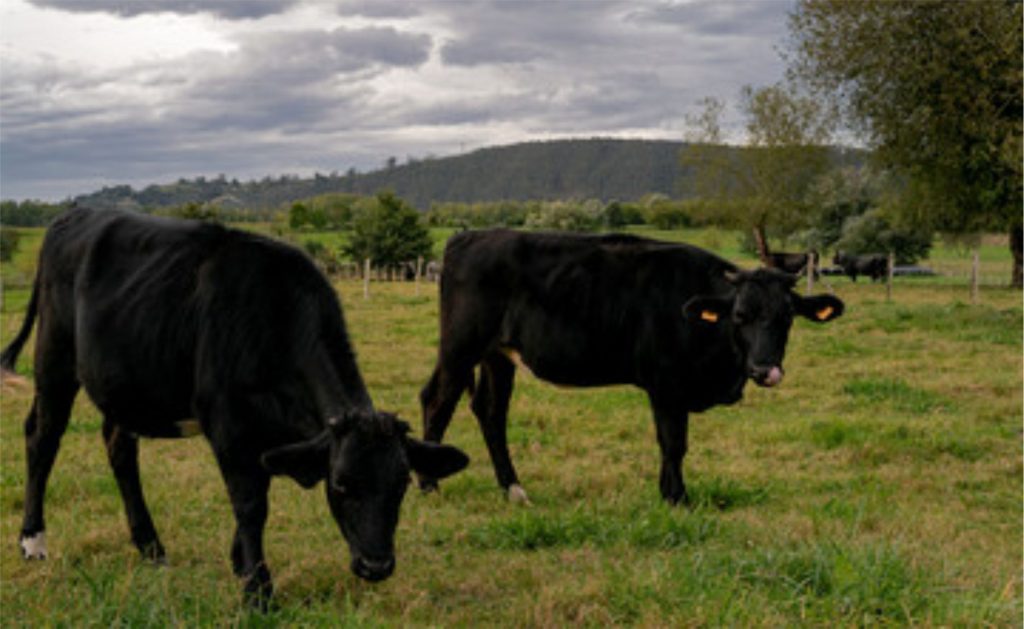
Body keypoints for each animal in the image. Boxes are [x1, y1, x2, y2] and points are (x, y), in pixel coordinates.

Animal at [1, 210, 468, 610]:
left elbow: (257, 496)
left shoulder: (270, 439)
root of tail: (75, 213)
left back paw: (151, 546)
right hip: (55, 358)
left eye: (402, 484)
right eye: (340, 485)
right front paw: (258, 590)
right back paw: (33, 541)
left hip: (124, 383)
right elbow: (250, 505)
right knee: (42, 436)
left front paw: (241, 564)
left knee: (118, 446)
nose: (377, 566)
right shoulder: (228, 426)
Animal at [415, 231, 839, 508]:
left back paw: (513, 490)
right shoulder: (666, 383)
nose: (766, 369)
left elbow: (671, 444)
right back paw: (429, 484)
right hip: (460, 347)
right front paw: (678, 498)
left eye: (787, 317)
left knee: (490, 411)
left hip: (498, 355)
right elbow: (674, 442)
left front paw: (667, 492)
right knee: (437, 401)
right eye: (740, 315)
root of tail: (469, 237)